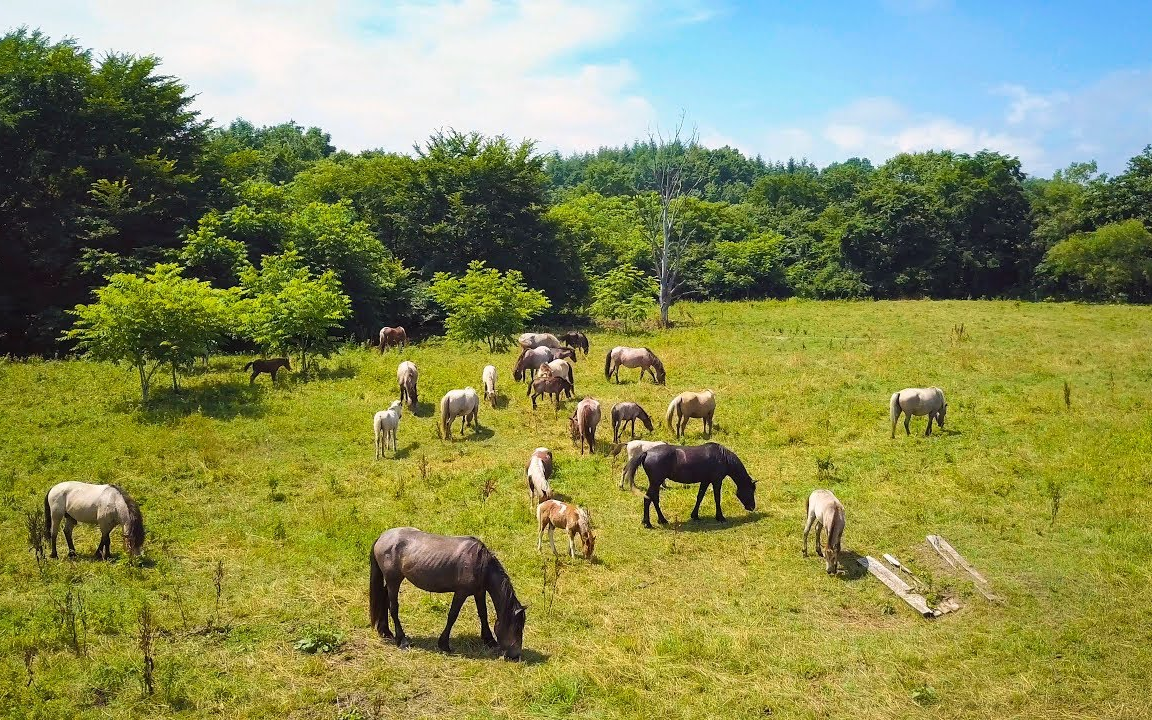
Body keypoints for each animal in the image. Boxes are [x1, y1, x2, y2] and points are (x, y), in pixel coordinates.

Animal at [368, 525, 527, 658]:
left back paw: (386, 632)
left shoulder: (479, 592)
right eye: (517, 628)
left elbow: (483, 614)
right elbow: (452, 615)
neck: (481, 564)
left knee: (384, 600)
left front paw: (489, 640)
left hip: (391, 582)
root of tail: (382, 537)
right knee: (393, 608)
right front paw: (444, 644)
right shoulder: (461, 592)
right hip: (394, 580)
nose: (516, 655)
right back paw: (402, 641)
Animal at [622, 437, 755, 527]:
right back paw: (648, 523)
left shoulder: (705, 481)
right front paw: (720, 517)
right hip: (655, 482)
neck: (723, 457)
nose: (752, 507)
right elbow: (717, 498)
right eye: (751, 490)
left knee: (654, 499)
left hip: (656, 483)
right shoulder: (716, 481)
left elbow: (700, 497)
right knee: (648, 499)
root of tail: (647, 453)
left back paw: (661, 520)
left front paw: (695, 515)